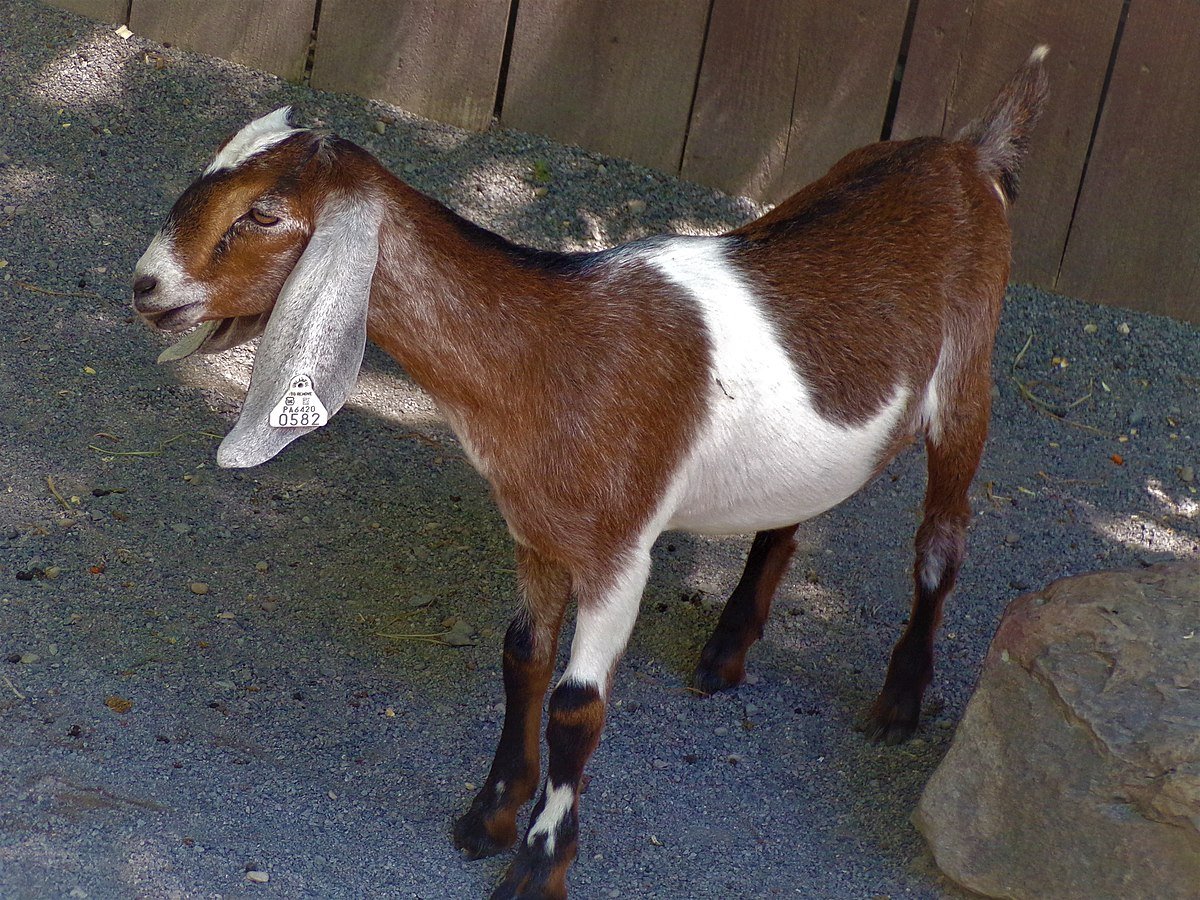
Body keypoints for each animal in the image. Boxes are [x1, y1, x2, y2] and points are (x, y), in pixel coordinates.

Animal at [131, 47, 1048, 900]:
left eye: (263, 212)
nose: (146, 287)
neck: (552, 351)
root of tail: (965, 153)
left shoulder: (618, 551)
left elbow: (577, 707)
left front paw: (539, 867)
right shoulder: (536, 531)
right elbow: (523, 656)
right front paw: (490, 815)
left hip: (968, 384)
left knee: (941, 540)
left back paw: (899, 702)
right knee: (793, 509)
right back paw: (726, 651)